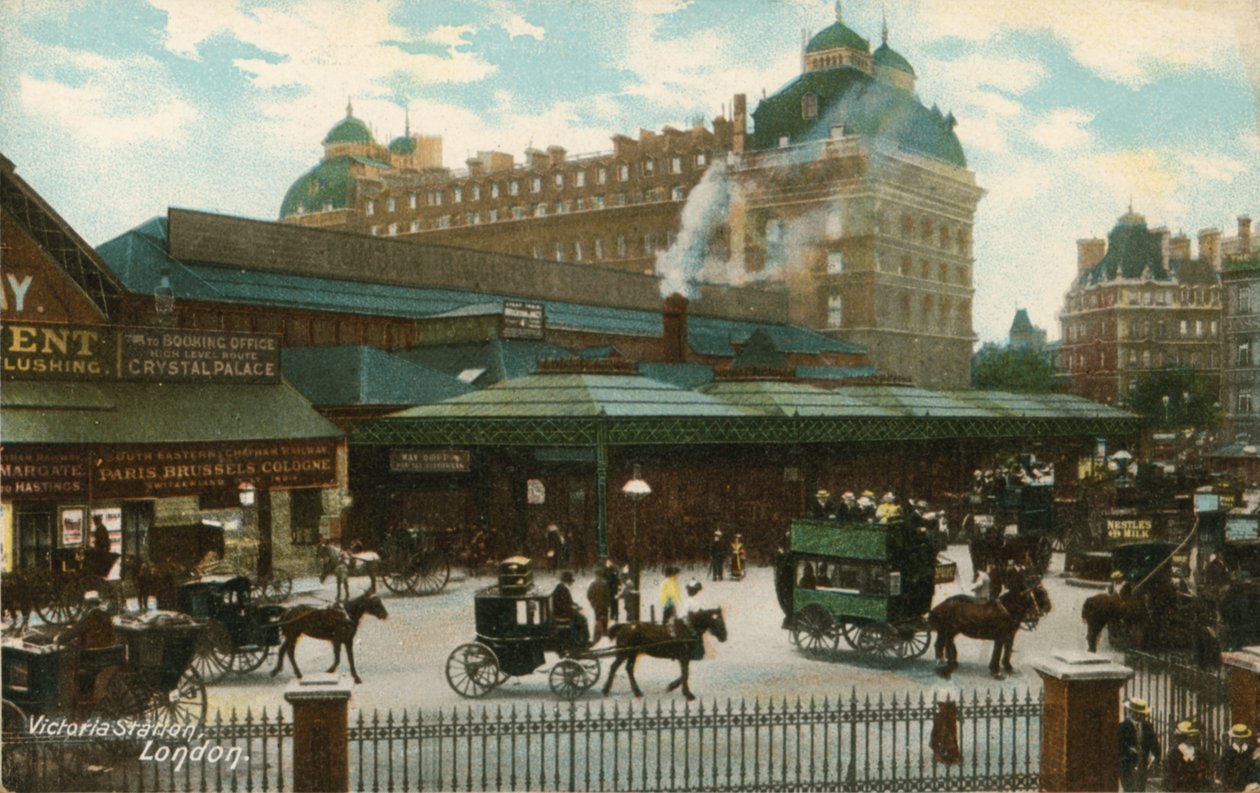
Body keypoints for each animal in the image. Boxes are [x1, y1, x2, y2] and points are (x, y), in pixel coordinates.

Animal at [599, 605, 730, 700]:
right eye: (717, 621)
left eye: (723, 620)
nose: (724, 637)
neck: (688, 629)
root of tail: (624, 626)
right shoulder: (684, 657)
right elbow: (685, 674)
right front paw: (687, 694)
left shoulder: (684, 658)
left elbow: (685, 674)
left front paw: (672, 687)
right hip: (625, 653)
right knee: (617, 668)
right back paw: (610, 690)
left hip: (631, 653)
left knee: (625, 669)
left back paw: (631, 691)